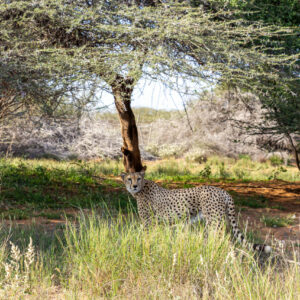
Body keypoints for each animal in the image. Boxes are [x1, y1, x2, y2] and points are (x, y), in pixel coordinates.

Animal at [120, 171, 270, 253]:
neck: (141, 189)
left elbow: (146, 238)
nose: (134, 186)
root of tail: (223, 191)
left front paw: (147, 248)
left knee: (223, 241)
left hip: (214, 222)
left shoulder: (147, 222)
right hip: (220, 221)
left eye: (138, 178)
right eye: (129, 178)